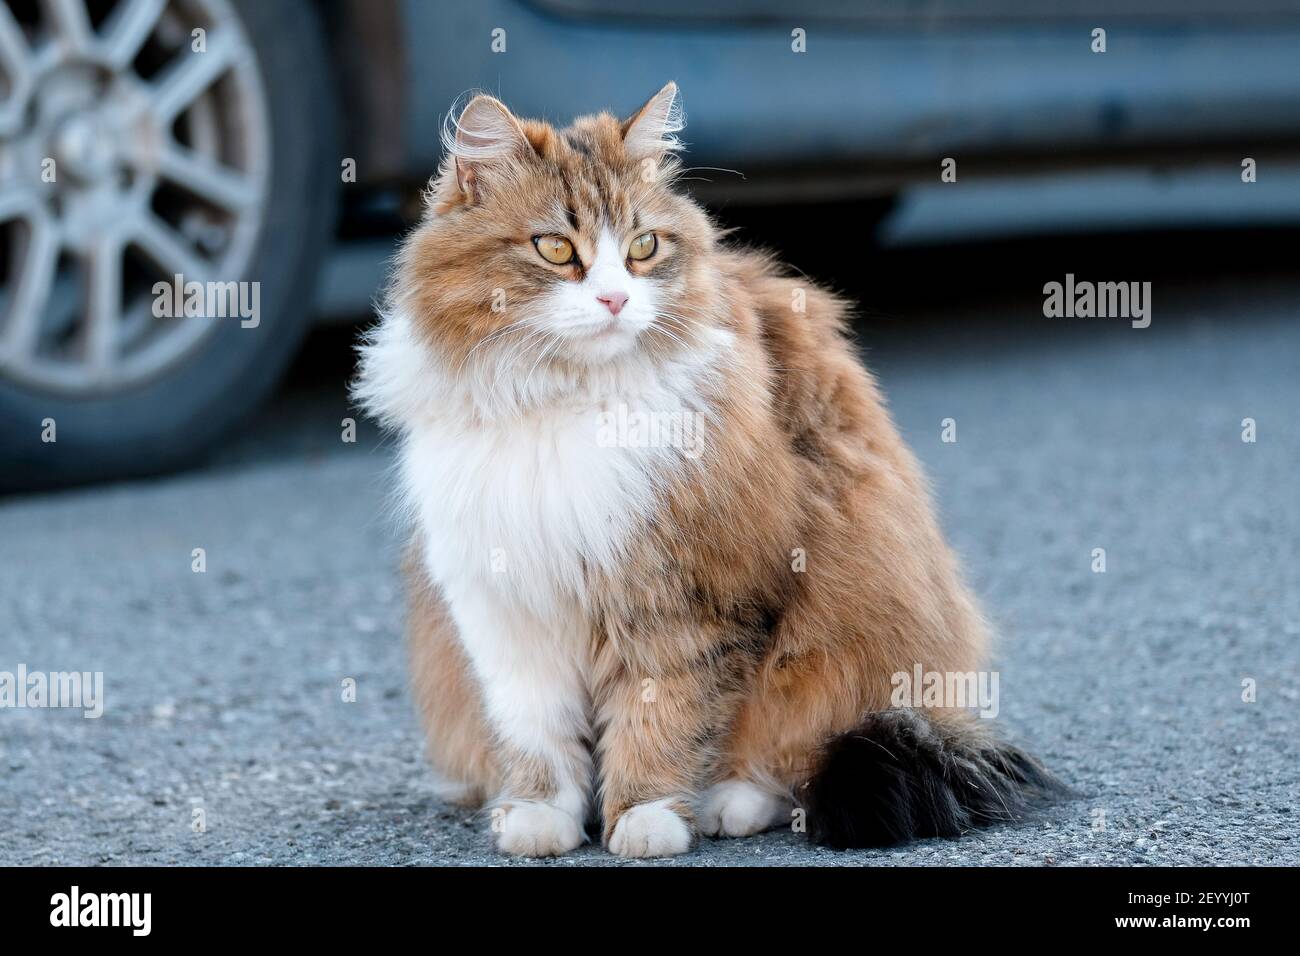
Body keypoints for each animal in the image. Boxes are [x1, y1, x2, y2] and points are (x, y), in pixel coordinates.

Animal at [353, 82, 1055, 858]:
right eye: (556, 248)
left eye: (643, 248)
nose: (615, 300)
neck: (566, 402)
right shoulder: (502, 607)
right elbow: (536, 733)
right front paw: (540, 817)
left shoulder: (685, 601)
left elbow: (662, 719)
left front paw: (647, 818)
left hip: (844, 634)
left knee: (788, 758)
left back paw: (728, 804)